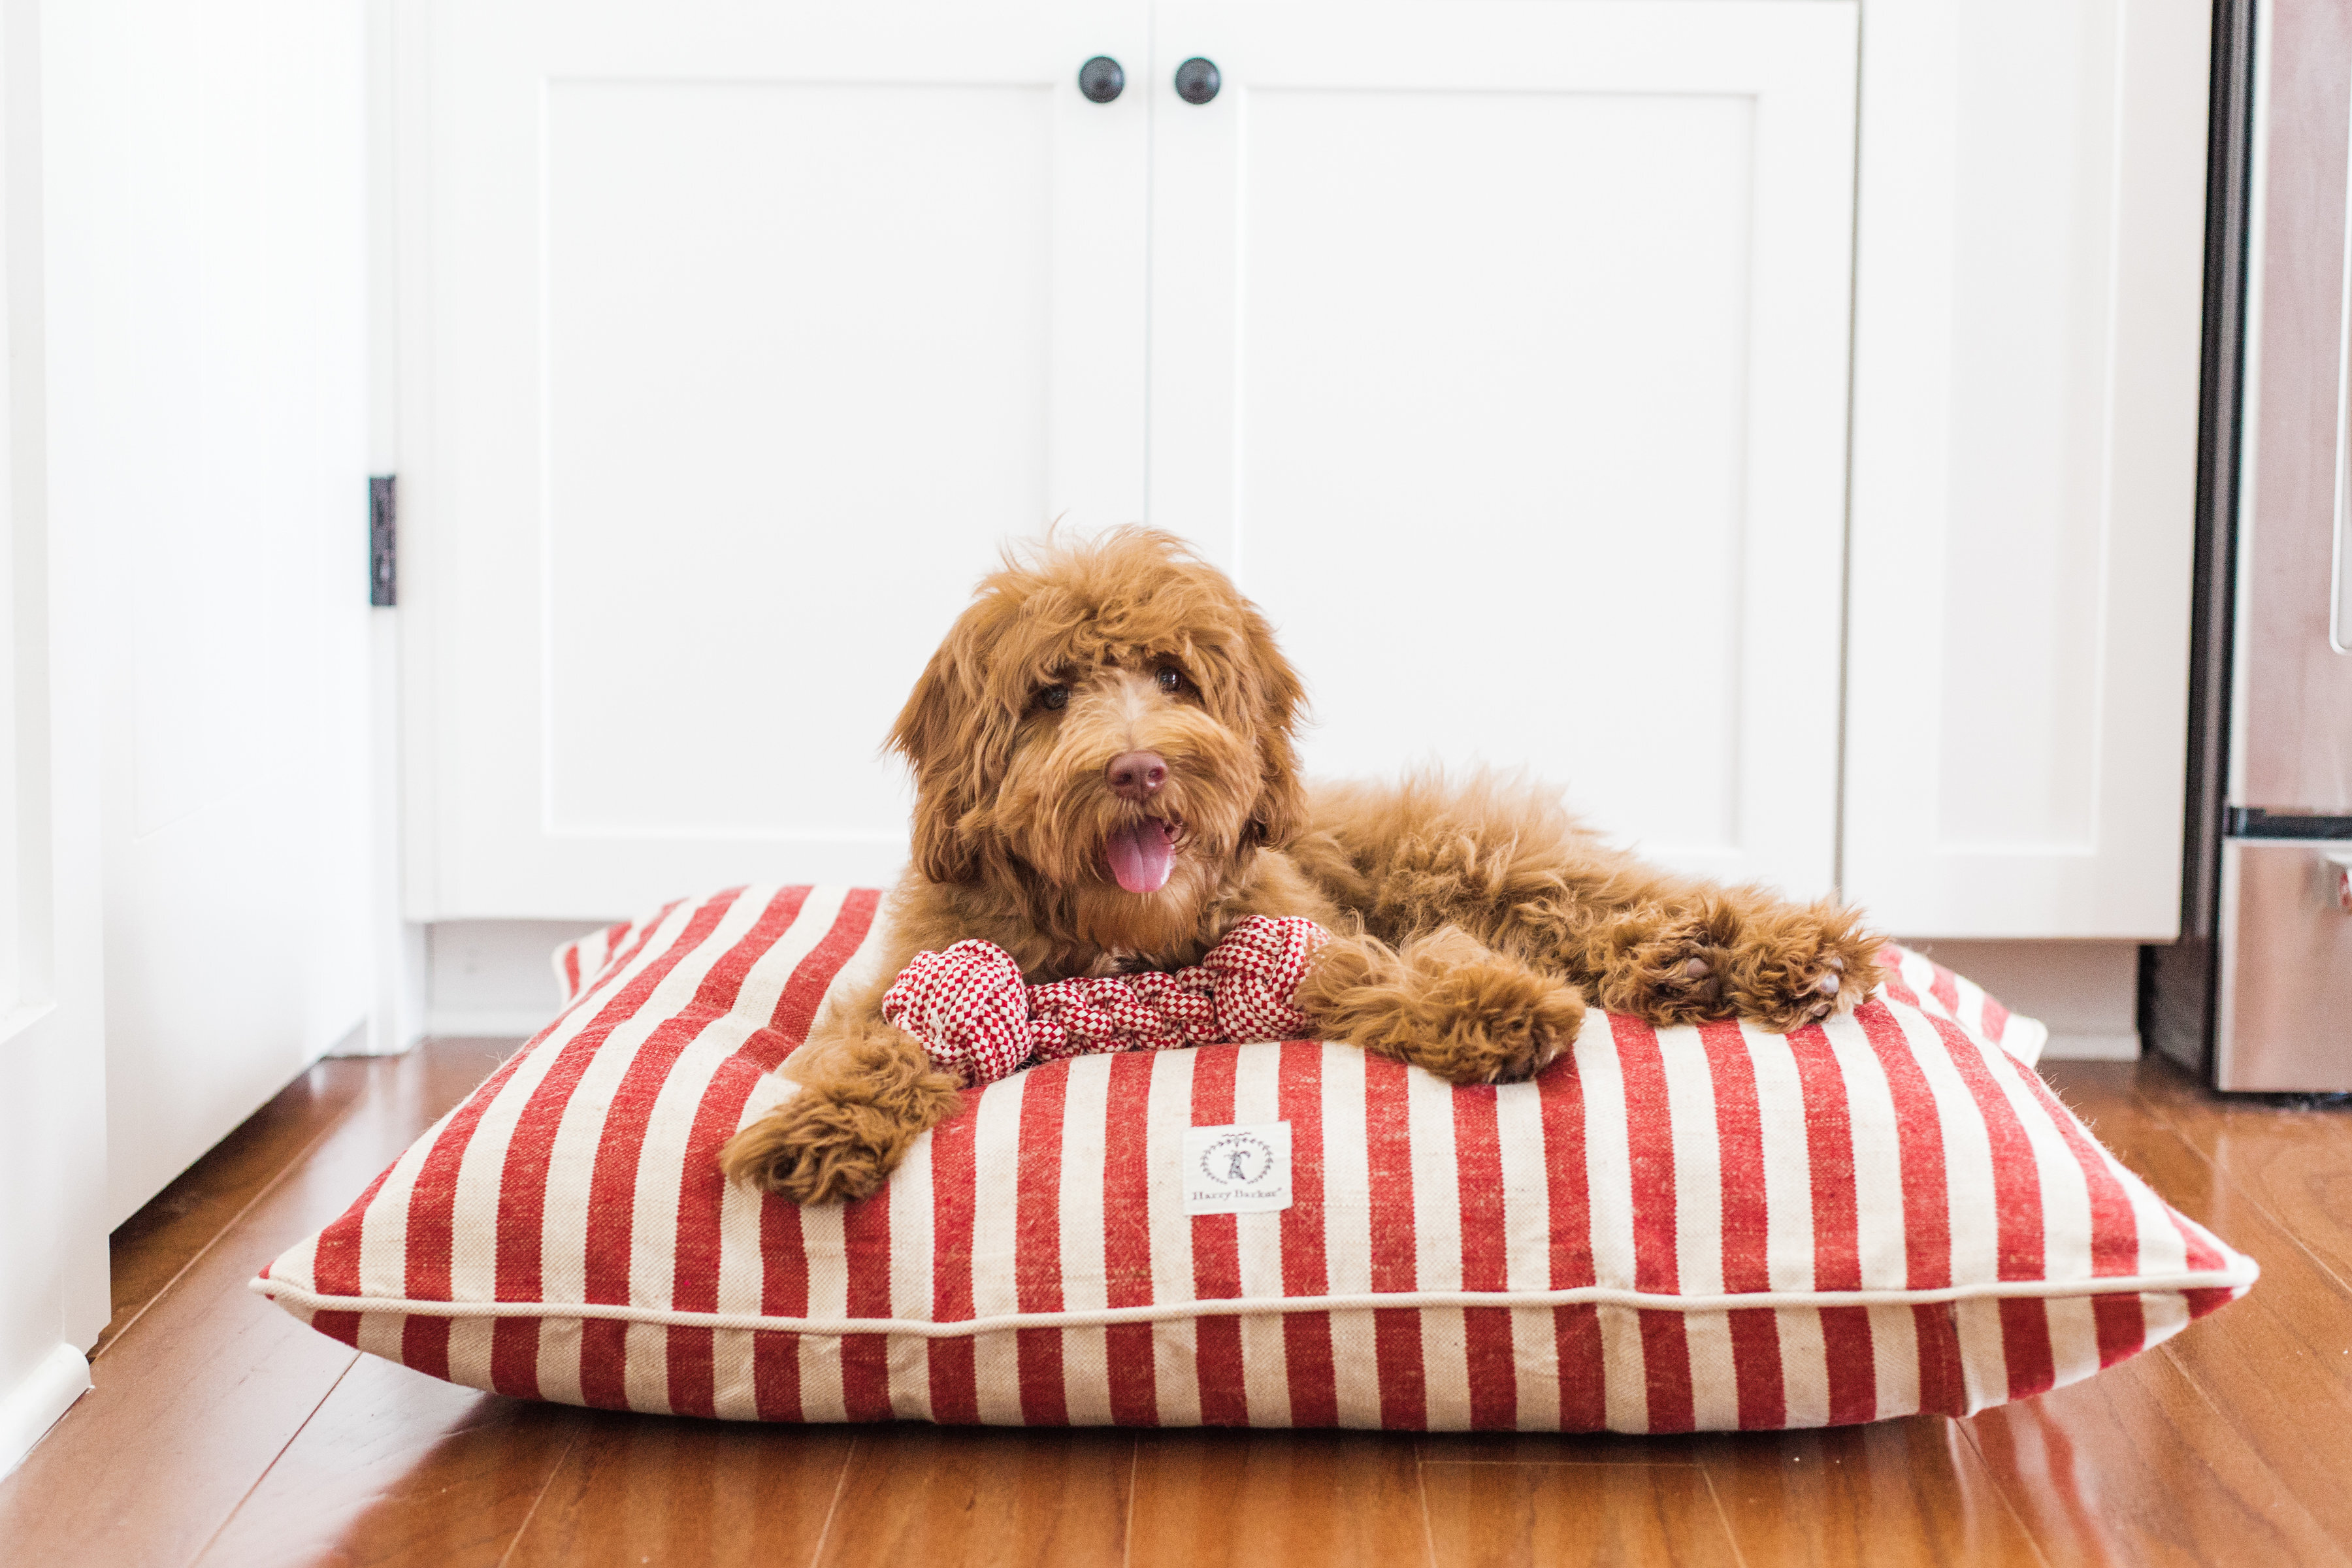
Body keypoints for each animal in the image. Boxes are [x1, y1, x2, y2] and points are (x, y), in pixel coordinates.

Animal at [724, 526, 1882, 1203]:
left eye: (1173, 675)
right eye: (1050, 694)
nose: (1139, 768)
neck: (1120, 940)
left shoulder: (1303, 929)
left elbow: (1375, 970)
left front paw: (1493, 1008)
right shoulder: (901, 972)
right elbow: (870, 1041)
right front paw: (825, 1124)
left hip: (1472, 862)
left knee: (1613, 901)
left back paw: (1781, 953)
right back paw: (1709, 968)